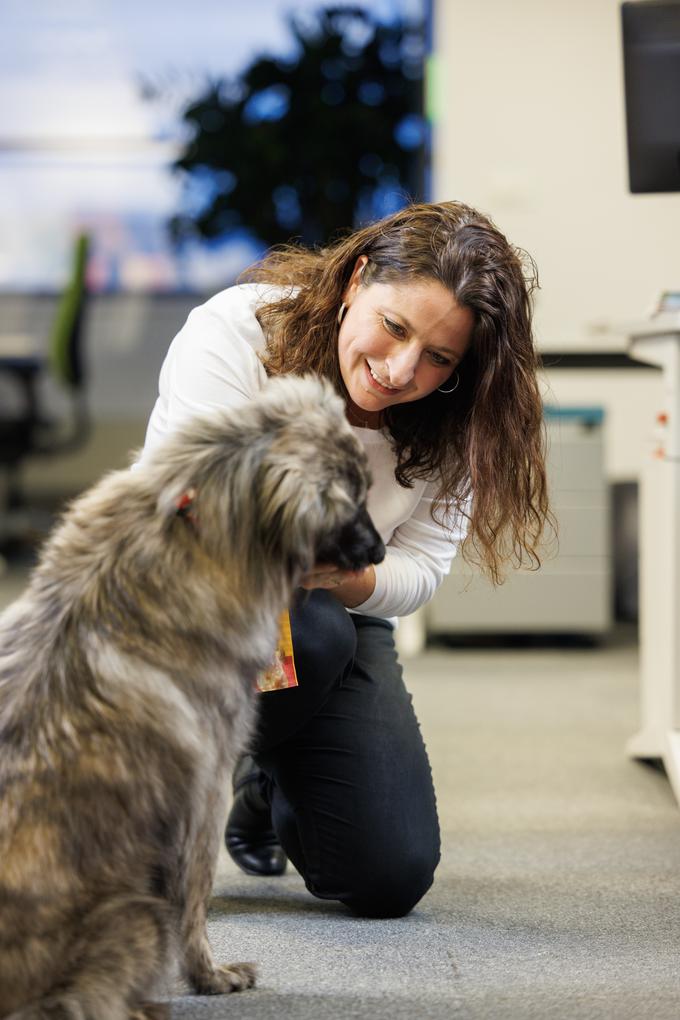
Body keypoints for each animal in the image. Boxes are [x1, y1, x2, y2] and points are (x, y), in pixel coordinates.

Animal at [0, 379, 383, 1020]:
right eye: (351, 497)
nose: (379, 553)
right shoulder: (202, 790)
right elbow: (196, 893)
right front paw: (212, 975)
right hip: (134, 918)